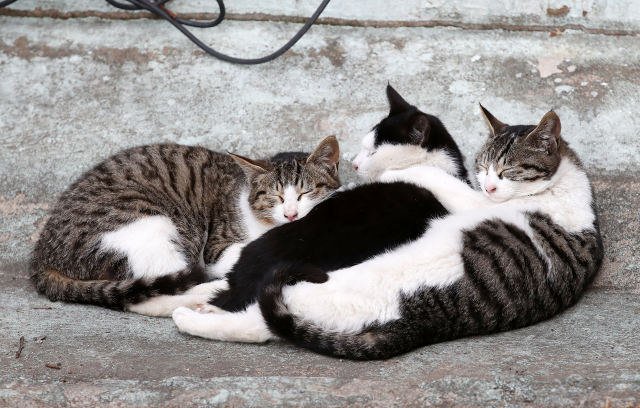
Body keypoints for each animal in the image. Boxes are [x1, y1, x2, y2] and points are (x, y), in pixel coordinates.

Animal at [30, 138, 340, 316]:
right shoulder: (217, 248)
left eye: (305, 193)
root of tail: (43, 256)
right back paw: (210, 292)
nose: (291, 214)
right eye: (276, 197)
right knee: (149, 296)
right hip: (148, 224)